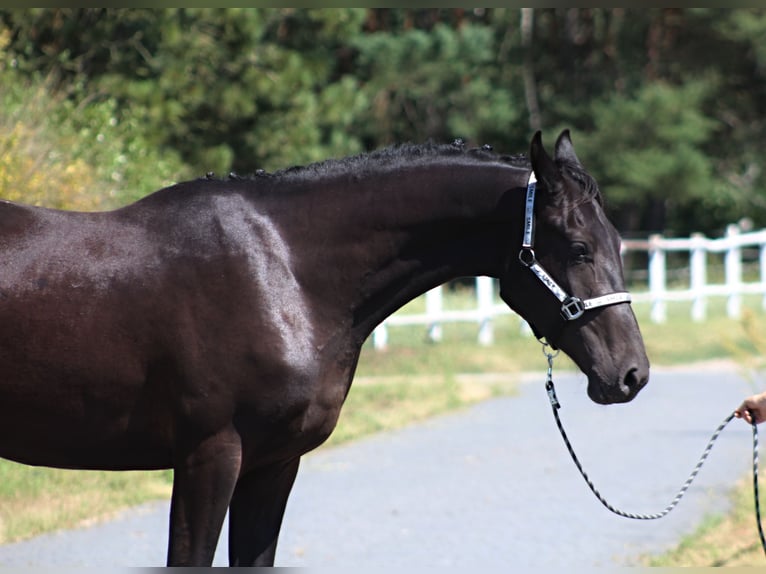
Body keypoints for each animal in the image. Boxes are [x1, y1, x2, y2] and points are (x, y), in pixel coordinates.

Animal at [0, 130, 648, 566]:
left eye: (619, 240)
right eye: (579, 248)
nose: (631, 375)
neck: (283, 271)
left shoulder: (274, 463)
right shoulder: (208, 456)